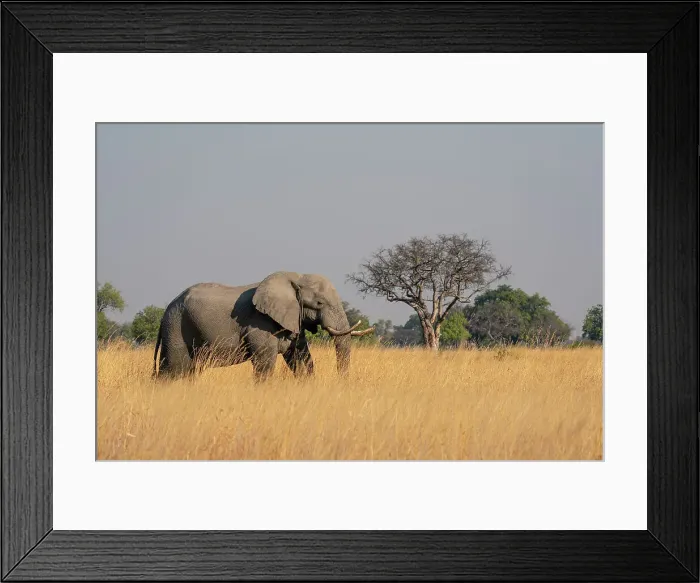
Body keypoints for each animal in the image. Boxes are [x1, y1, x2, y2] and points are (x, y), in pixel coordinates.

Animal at [153, 271, 374, 381]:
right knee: (175, 369)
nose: (341, 382)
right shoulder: (259, 323)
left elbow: (300, 356)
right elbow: (265, 364)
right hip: (176, 326)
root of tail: (165, 311)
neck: (294, 279)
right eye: (319, 303)